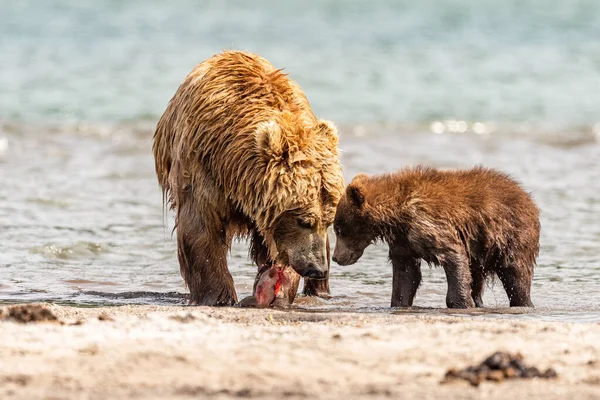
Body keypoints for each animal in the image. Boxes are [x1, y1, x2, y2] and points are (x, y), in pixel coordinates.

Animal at [152, 50, 344, 306]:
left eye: (328, 221)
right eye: (304, 221)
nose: (317, 269)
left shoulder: (270, 210)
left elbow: (279, 250)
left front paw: (277, 291)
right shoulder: (201, 169)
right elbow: (200, 230)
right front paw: (218, 296)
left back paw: (320, 291)